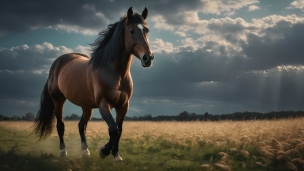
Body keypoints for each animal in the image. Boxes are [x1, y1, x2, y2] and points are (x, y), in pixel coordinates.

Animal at [33, 7, 154, 163]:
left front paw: (116, 155)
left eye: (146, 30)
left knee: (81, 125)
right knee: (60, 126)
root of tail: (58, 62)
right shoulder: (104, 104)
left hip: (86, 106)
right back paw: (63, 151)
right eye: (132, 31)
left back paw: (85, 151)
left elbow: (119, 130)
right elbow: (113, 129)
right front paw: (104, 151)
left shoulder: (123, 106)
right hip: (58, 100)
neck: (114, 73)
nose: (148, 58)